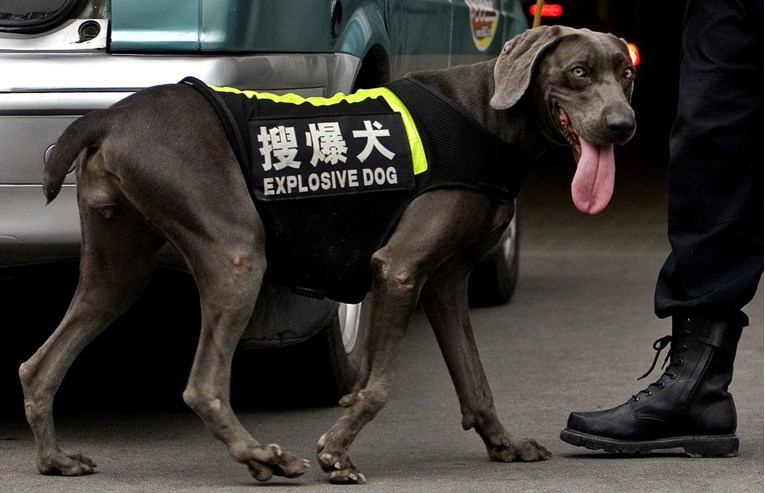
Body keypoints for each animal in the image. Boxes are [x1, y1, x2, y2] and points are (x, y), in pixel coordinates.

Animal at [20, 25, 636, 482]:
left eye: (627, 71)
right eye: (579, 72)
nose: (623, 125)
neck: (488, 113)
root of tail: (107, 116)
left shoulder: (445, 281)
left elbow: (475, 379)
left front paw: (504, 444)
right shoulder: (399, 268)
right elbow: (378, 385)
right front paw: (336, 453)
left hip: (117, 271)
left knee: (38, 365)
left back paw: (56, 459)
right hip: (237, 254)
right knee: (203, 387)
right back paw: (264, 457)